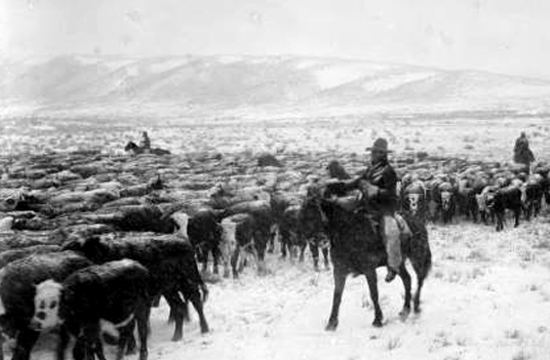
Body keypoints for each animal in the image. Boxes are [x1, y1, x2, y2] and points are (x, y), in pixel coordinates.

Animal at [61, 236, 210, 340]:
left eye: (81, 252)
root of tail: (184, 242)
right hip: (169, 289)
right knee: (179, 306)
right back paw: (176, 336)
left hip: (187, 281)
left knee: (196, 301)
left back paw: (204, 329)